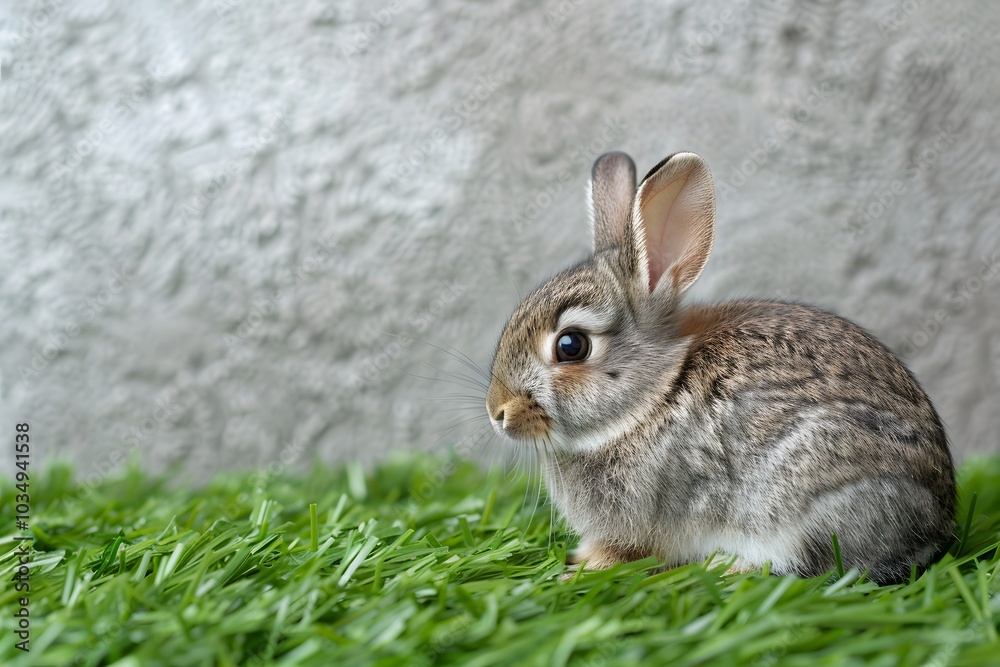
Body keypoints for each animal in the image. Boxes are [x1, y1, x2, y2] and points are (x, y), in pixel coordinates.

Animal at [485, 151, 956, 585]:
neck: (654, 396)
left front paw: (583, 569)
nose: (498, 413)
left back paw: (728, 567)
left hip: (814, 500)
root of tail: (938, 522)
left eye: (571, 345)